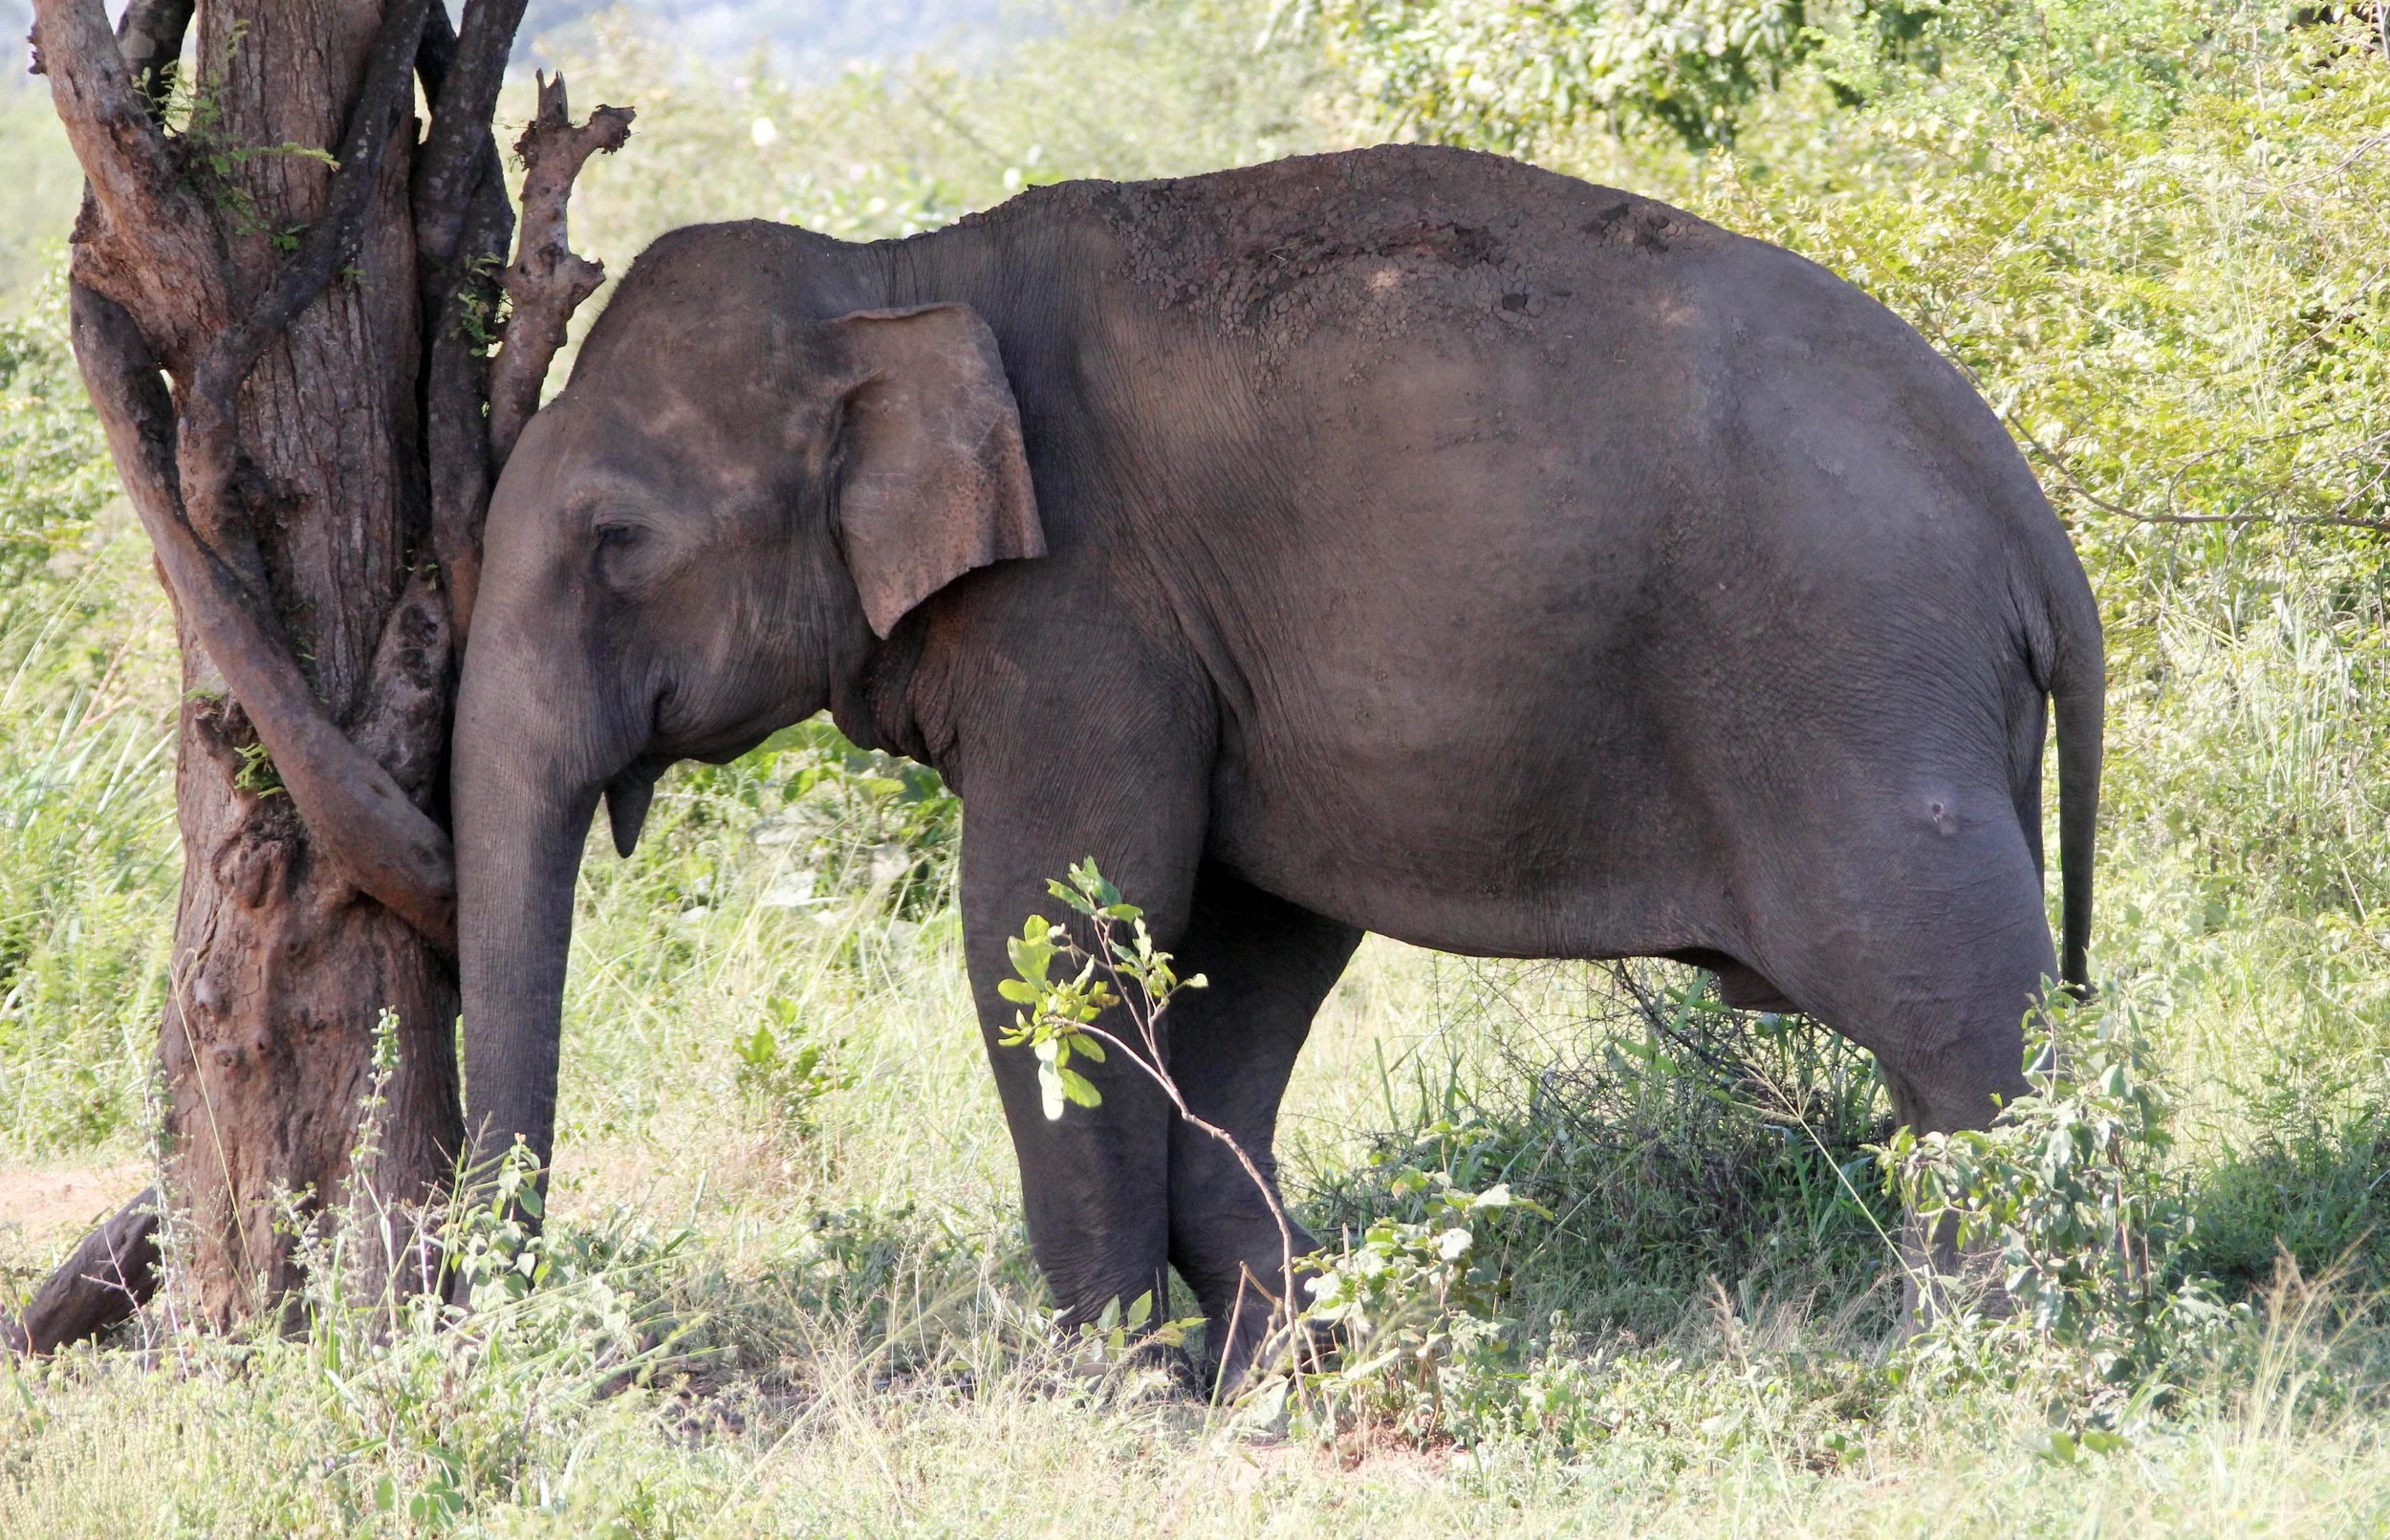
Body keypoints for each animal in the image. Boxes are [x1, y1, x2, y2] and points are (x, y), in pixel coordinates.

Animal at [453, 143, 2104, 1383]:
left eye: (614, 543)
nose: (493, 1312)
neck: (893, 278)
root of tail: (2028, 517)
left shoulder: (1083, 614)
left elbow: (1052, 929)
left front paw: (1114, 1395)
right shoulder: (1210, 658)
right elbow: (1231, 958)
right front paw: (1272, 1377)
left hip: (1855, 686)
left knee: (1955, 1020)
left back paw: (1986, 1359)